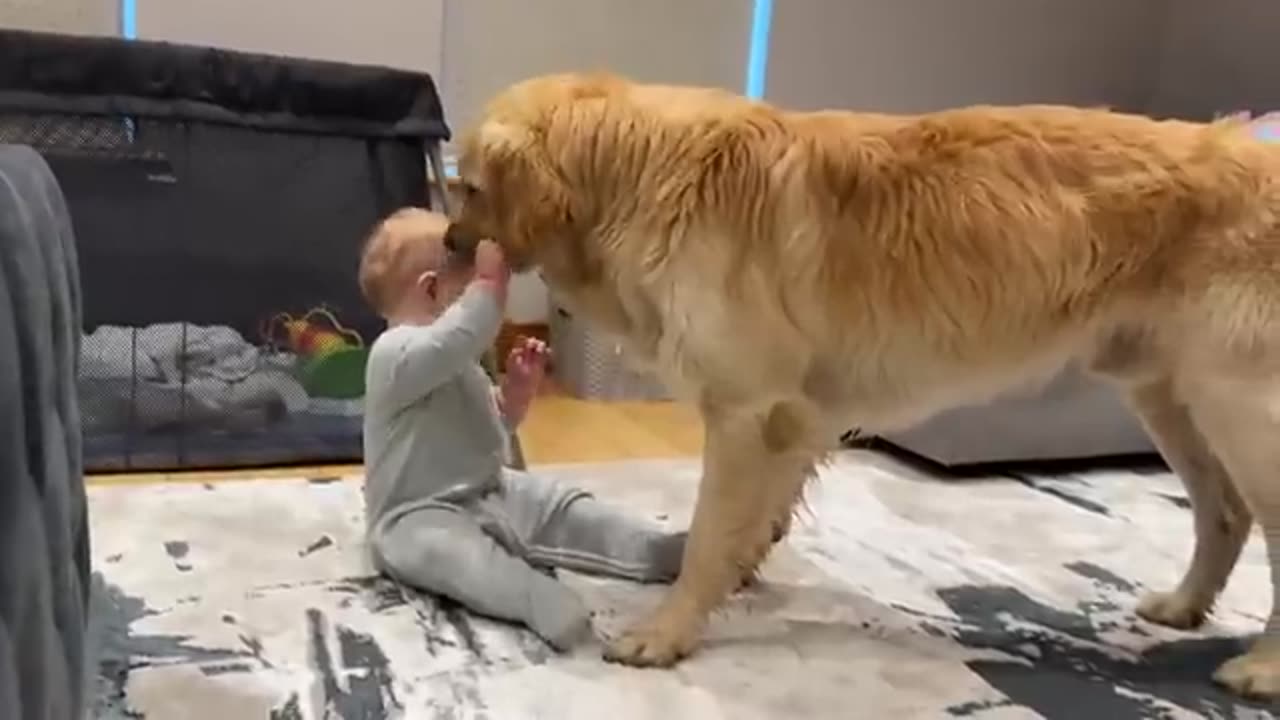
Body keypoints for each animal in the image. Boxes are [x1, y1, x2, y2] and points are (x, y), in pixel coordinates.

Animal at [445, 71, 1280, 696]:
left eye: (471, 188)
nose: (449, 244)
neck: (637, 171)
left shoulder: (744, 412)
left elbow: (710, 536)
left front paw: (668, 633)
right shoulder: (793, 418)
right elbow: (751, 525)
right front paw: (733, 585)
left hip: (1240, 409)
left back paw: (1262, 668)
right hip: (1167, 395)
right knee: (1225, 514)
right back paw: (1184, 606)